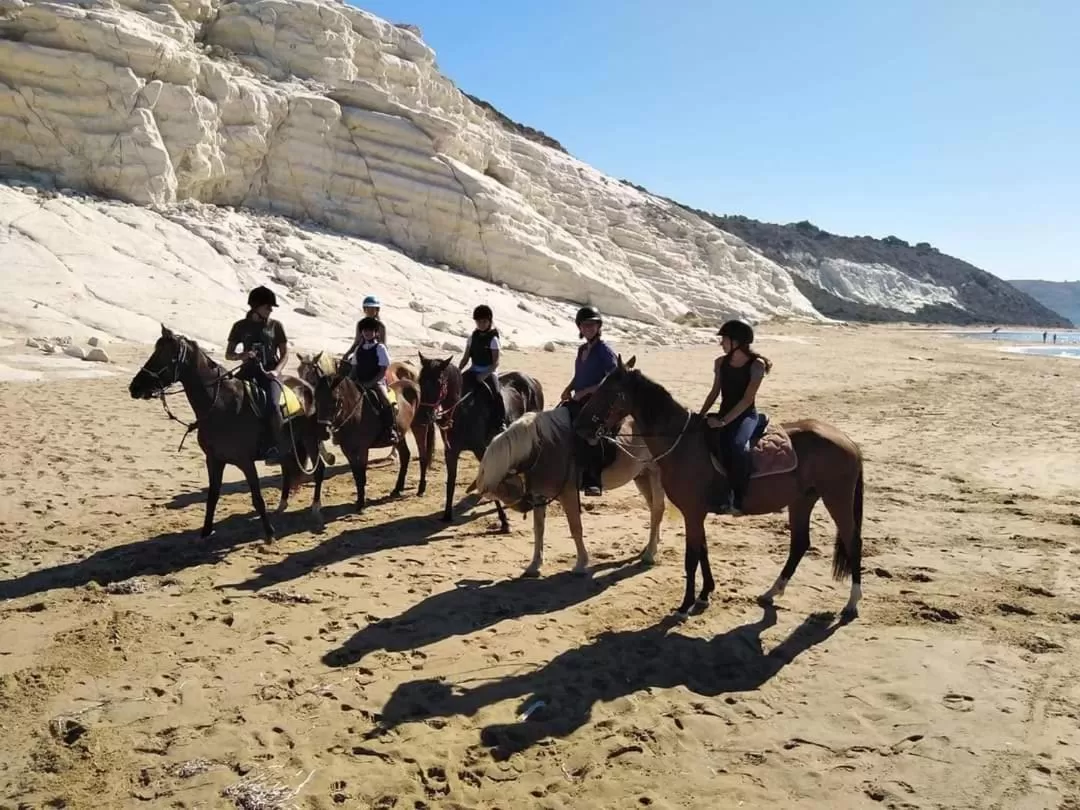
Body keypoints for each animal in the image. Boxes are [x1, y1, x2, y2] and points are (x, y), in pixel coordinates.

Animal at [128, 325, 327, 539]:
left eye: (166, 356)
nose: (134, 387)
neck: (221, 405)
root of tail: (307, 386)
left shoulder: (245, 461)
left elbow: (257, 498)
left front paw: (269, 533)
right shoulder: (214, 460)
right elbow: (212, 497)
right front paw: (206, 532)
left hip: (310, 439)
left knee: (318, 470)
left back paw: (316, 508)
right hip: (289, 445)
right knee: (287, 470)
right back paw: (282, 505)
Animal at [298, 354, 420, 512]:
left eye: (335, 400)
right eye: (318, 398)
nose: (323, 430)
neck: (355, 412)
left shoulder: (362, 449)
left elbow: (361, 475)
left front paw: (361, 504)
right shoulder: (348, 450)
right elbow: (356, 475)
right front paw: (359, 501)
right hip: (401, 435)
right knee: (405, 455)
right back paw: (397, 488)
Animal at [416, 354, 544, 530]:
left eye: (439, 382)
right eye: (420, 380)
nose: (423, 415)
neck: (463, 410)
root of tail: (532, 380)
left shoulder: (481, 450)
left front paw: (504, 521)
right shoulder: (451, 452)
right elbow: (451, 482)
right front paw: (447, 515)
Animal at [467, 403, 666, 577]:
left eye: (504, 489)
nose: (524, 507)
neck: (541, 447)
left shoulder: (568, 493)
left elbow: (575, 528)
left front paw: (581, 564)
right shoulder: (539, 496)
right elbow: (539, 529)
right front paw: (534, 565)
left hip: (656, 474)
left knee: (657, 510)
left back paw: (649, 554)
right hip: (642, 475)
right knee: (652, 508)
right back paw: (652, 545)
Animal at [573, 355, 865, 621]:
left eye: (607, 391)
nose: (580, 426)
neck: (682, 442)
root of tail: (847, 440)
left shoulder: (692, 512)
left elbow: (692, 557)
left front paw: (685, 606)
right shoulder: (697, 513)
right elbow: (703, 551)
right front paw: (704, 596)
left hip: (836, 498)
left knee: (852, 541)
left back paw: (852, 603)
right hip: (802, 500)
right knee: (799, 544)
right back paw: (771, 592)